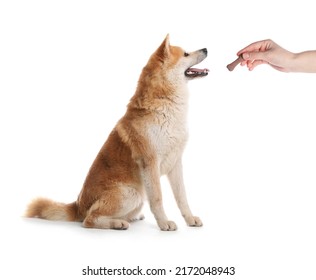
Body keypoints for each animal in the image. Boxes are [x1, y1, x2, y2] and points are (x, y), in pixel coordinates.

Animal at [25, 35, 209, 231]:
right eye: (186, 54)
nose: (206, 49)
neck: (165, 106)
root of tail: (78, 206)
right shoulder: (150, 163)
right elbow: (158, 199)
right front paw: (164, 223)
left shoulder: (176, 163)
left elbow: (182, 197)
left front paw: (190, 219)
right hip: (132, 193)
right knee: (89, 220)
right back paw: (117, 223)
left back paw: (130, 218)